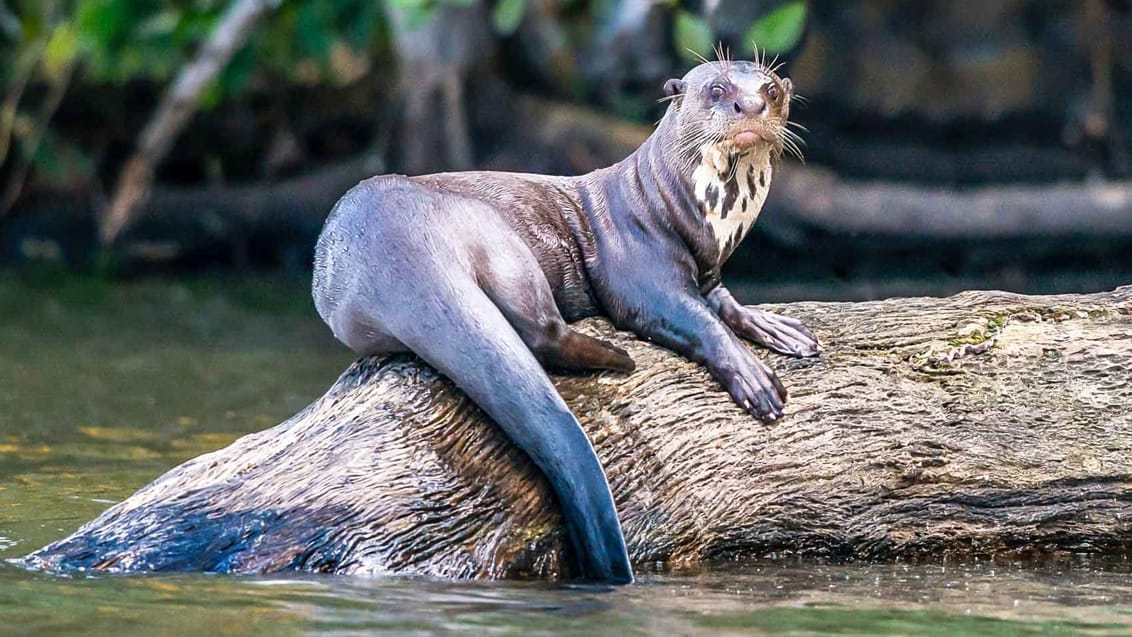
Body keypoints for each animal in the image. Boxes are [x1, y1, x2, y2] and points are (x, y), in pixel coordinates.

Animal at [314, 57, 819, 583]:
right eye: (717, 89)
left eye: (770, 89)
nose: (751, 105)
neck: (687, 213)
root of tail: (397, 244)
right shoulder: (639, 268)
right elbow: (691, 318)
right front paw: (752, 376)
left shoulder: (709, 270)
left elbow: (724, 302)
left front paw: (777, 328)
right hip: (495, 235)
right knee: (540, 330)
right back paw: (618, 358)